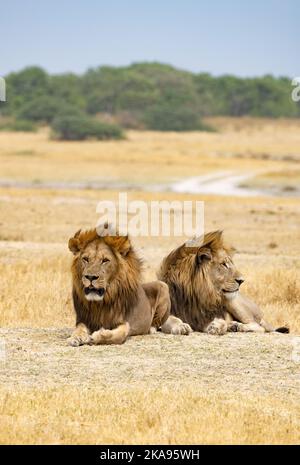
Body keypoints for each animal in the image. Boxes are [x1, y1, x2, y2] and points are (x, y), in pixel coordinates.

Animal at [158, 230, 290, 336]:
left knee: (258, 326)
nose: (242, 280)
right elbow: (171, 320)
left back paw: (238, 326)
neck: (195, 295)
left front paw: (217, 326)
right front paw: (181, 326)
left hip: (235, 303)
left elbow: (221, 322)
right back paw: (233, 326)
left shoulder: (205, 317)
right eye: (223, 264)